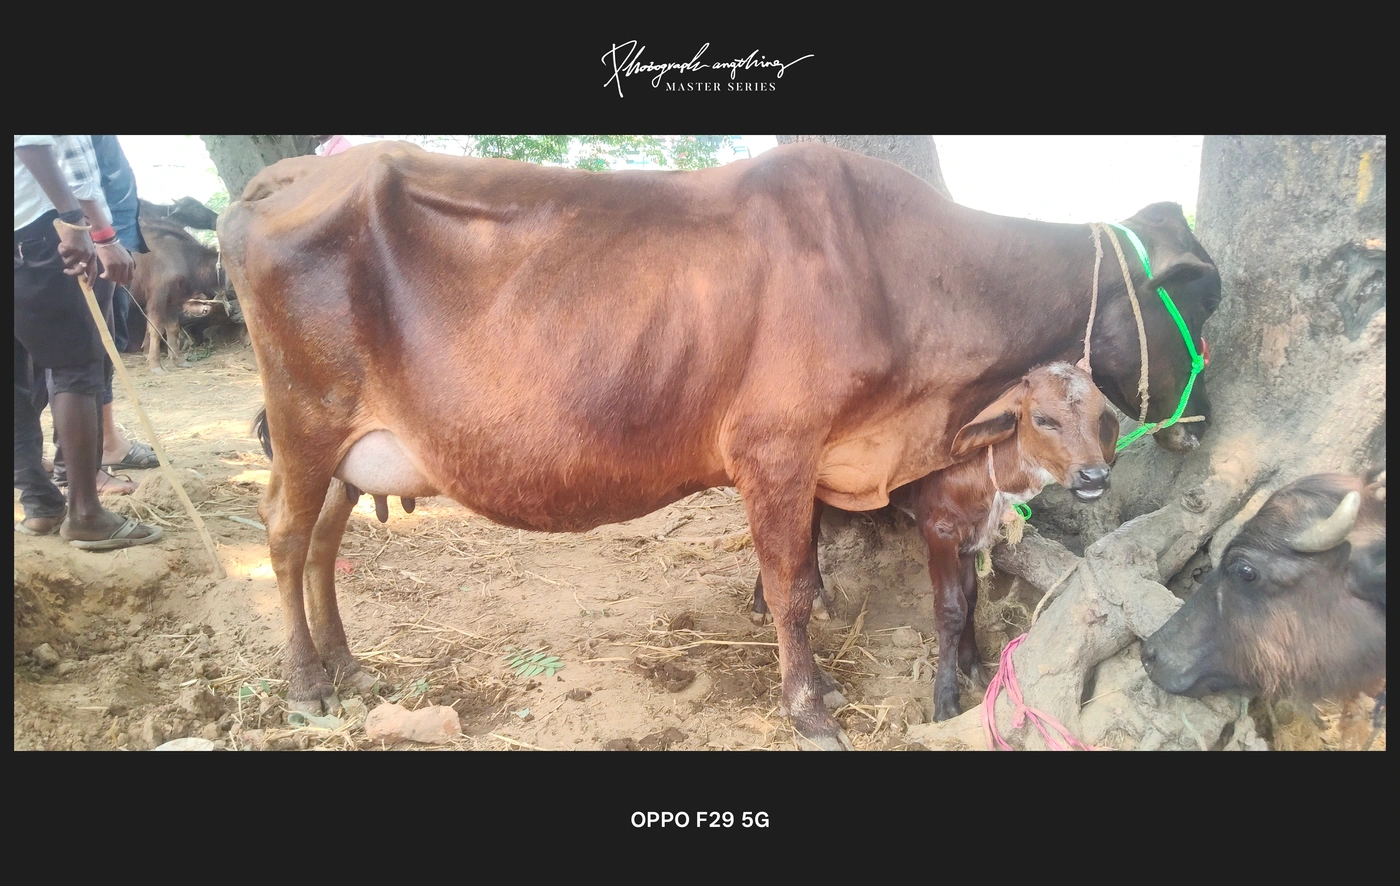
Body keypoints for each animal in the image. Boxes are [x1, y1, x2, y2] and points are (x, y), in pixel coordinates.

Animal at [129, 216, 233, 372]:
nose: (206, 309)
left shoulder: (173, 301)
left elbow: (173, 329)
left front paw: (178, 360)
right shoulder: (157, 298)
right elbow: (155, 329)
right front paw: (155, 364)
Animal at [218, 140, 1221, 750]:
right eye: (1200, 295)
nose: (1206, 414)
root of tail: (288, 176)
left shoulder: (820, 460)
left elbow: (828, 573)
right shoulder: (775, 449)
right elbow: (792, 587)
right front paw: (810, 709)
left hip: (350, 445)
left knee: (323, 539)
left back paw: (347, 663)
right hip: (306, 420)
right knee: (283, 534)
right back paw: (306, 684)